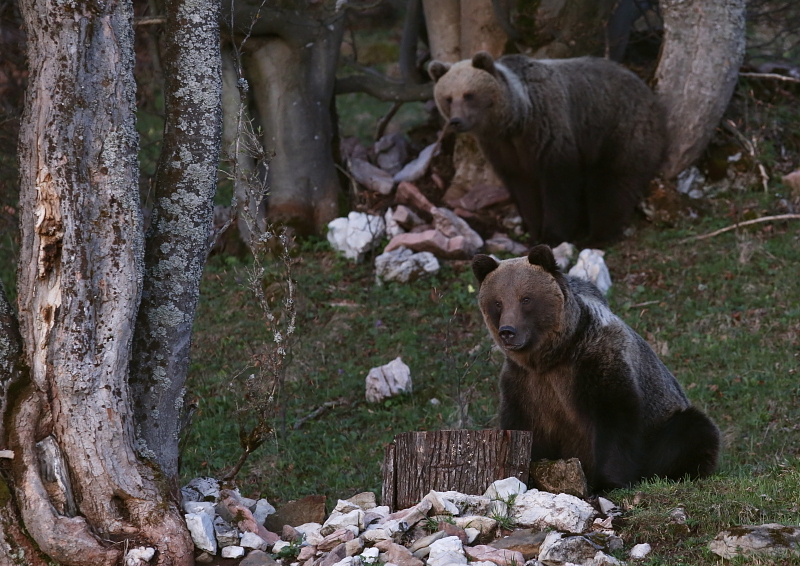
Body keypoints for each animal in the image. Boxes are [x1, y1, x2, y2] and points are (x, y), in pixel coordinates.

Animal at [428, 52, 664, 246]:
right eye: (448, 98)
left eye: (469, 95)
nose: (456, 121)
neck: (515, 120)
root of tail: (647, 90)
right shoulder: (502, 149)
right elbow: (523, 188)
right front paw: (534, 231)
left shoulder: (547, 132)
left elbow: (558, 186)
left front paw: (552, 235)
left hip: (619, 128)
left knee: (611, 182)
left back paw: (600, 234)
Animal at [472, 247, 720, 492]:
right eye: (497, 302)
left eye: (525, 298)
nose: (508, 331)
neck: (552, 356)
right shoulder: (524, 382)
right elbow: (521, 424)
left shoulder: (596, 365)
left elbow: (614, 422)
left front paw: (607, 482)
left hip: (661, 427)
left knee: (693, 431)